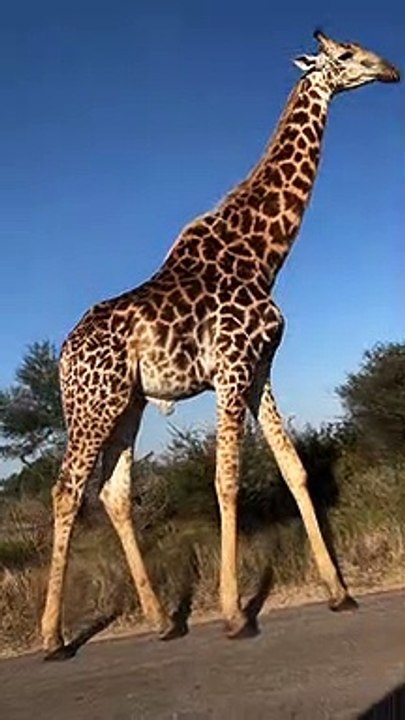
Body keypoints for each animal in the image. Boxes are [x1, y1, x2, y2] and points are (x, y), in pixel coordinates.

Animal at [41, 30, 400, 658]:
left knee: (113, 493)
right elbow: (226, 481)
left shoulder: (260, 370)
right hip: (91, 404)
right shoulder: (231, 368)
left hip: (128, 404)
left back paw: (163, 620)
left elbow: (294, 469)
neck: (263, 256)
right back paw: (53, 637)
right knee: (67, 490)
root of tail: (63, 354)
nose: (391, 70)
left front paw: (339, 592)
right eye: (346, 55)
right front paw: (235, 614)